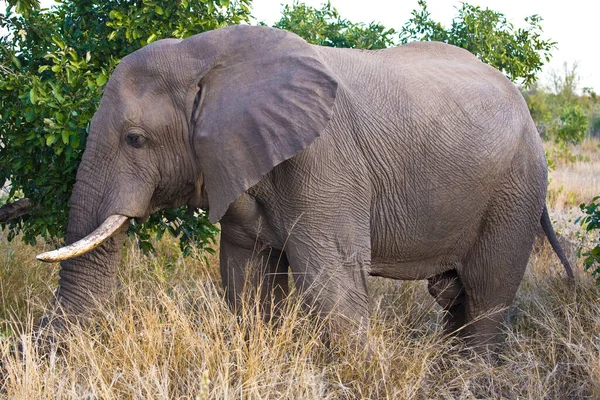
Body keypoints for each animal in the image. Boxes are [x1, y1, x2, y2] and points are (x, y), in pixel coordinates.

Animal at [36, 25, 572, 350]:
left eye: (135, 139)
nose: (38, 337)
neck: (204, 55)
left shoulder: (324, 160)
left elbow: (329, 278)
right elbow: (247, 279)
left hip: (517, 188)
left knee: (485, 294)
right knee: (456, 297)